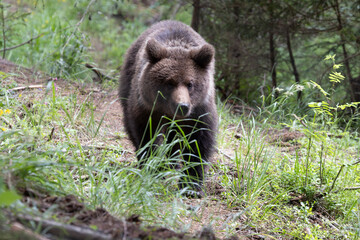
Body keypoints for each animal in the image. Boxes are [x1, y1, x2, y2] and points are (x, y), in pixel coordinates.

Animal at [119, 20, 218, 197]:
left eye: (190, 84)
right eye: (169, 82)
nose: (182, 106)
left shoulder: (199, 112)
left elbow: (198, 144)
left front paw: (191, 186)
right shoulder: (147, 109)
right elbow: (147, 136)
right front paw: (153, 168)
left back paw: (172, 163)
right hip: (128, 81)